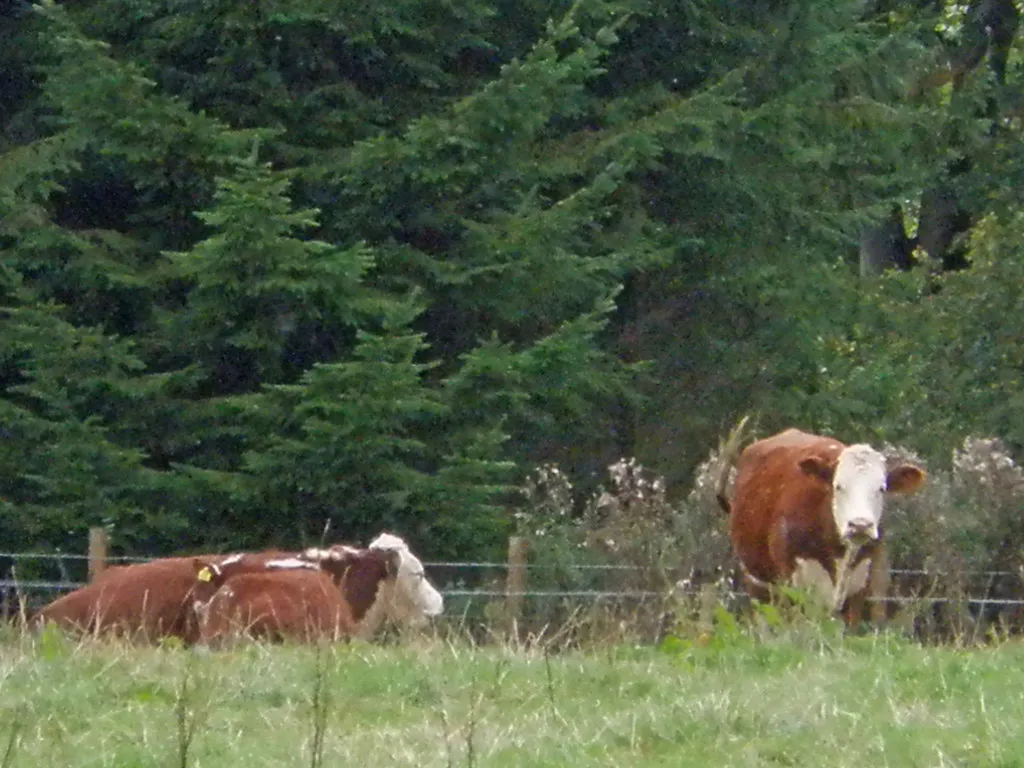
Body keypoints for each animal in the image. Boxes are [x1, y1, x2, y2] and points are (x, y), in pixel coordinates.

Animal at [715, 425, 926, 625]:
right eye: (838, 486)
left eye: (881, 489)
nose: (860, 525)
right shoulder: (792, 586)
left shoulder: (859, 589)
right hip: (758, 583)